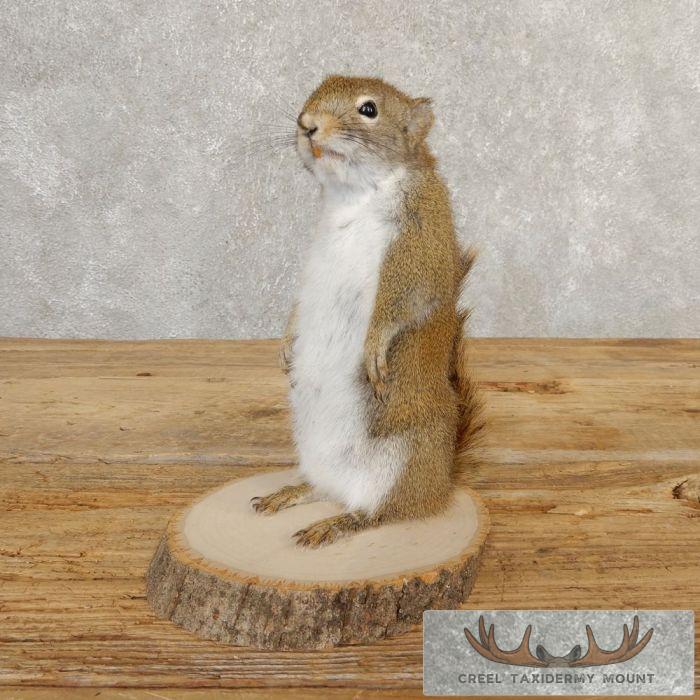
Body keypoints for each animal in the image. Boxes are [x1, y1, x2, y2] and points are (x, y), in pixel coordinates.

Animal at [251, 75, 481, 548]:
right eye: (316, 88)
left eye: (369, 110)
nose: (306, 123)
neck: (354, 196)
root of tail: (440, 484)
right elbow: (298, 304)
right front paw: (286, 343)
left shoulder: (421, 244)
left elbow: (407, 300)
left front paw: (374, 343)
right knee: (326, 489)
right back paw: (294, 492)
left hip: (401, 459)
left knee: (380, 513)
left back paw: (339, 523)